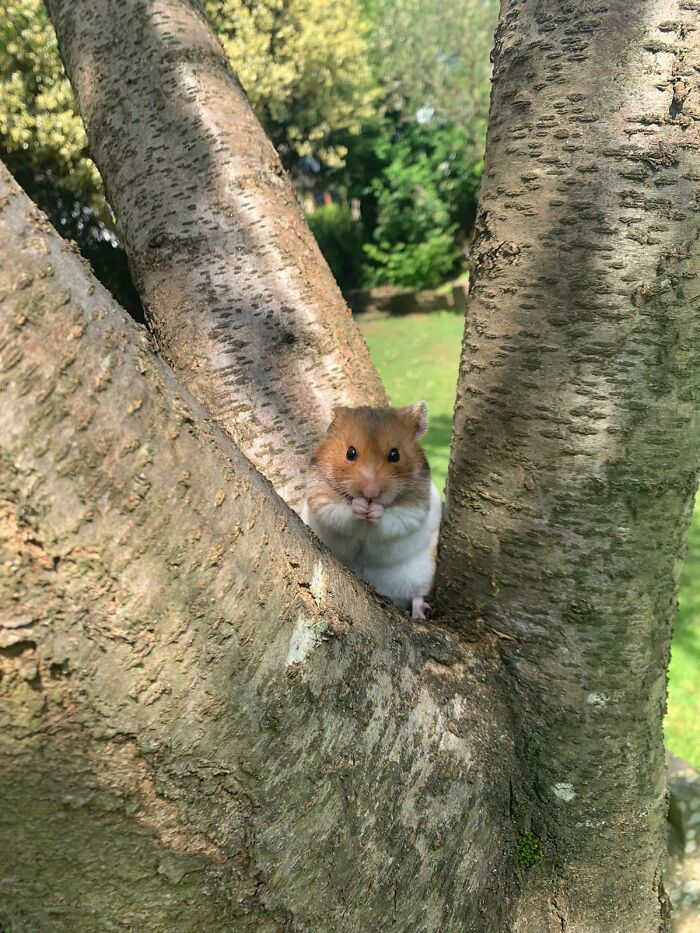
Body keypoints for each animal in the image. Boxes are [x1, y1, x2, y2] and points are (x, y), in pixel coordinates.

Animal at [302, 402, 442, 616]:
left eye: (395, 455)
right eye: (350, 453)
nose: (371, 492)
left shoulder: (413, 510)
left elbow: (391, 521)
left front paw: (375, 511)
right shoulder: (322, 500)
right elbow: (341, 513)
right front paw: (359, 506)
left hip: (423, 574)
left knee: (417, 595)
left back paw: (420, 613)